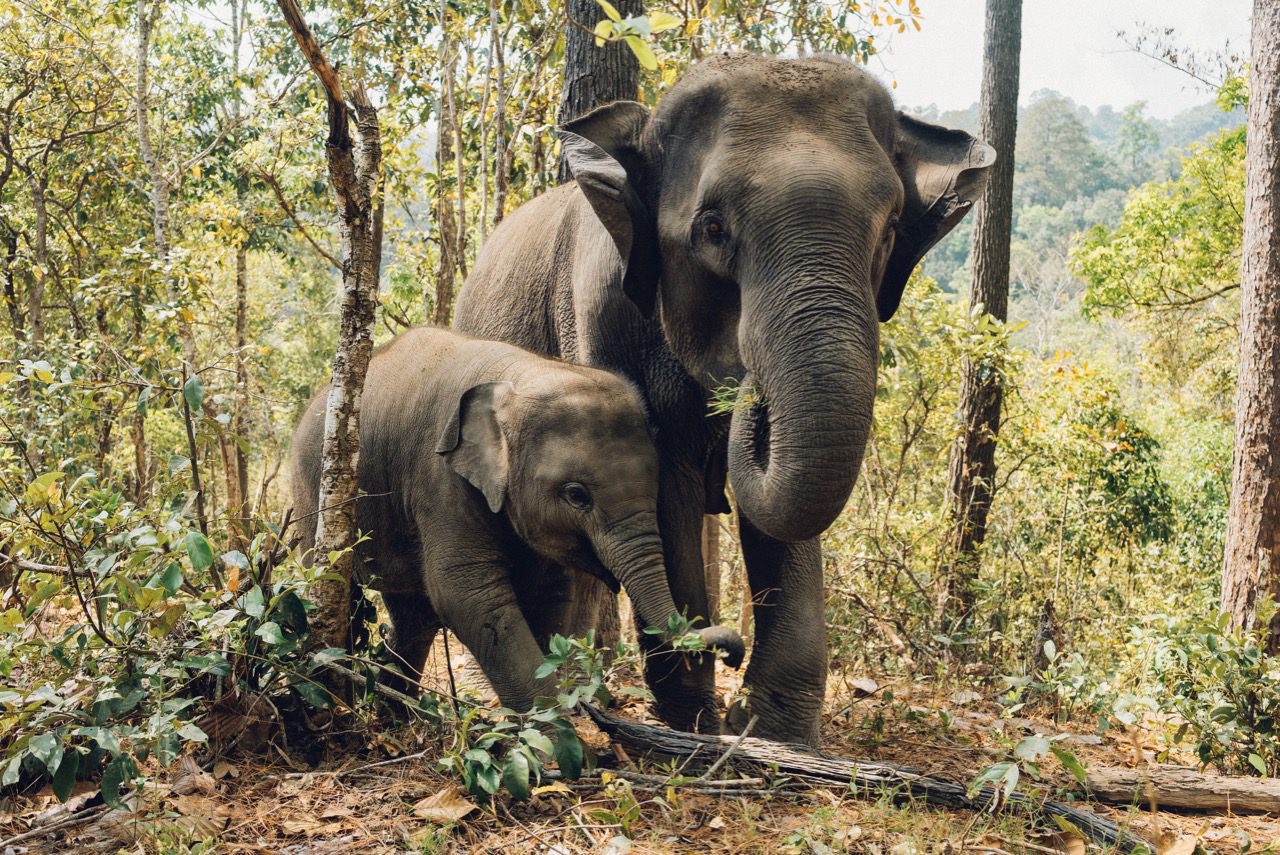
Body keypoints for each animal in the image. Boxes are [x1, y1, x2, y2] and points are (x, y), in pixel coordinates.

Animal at [291, 327, 747, 716]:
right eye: (577, 495)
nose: (733, 653)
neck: (519, 374)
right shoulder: (440, 477)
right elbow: (466, 592)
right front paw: (557, 742)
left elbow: (549, 592)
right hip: (312, 494)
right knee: (339, 591)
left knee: (414, 615)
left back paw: (397, 716)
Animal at [455, 51, 993, 742]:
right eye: (712, 229)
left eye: (891, 230)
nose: (748, 388)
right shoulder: (602, 319)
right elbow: (667, 488)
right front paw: (697, 721)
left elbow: (783, 508)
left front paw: (771, 731)